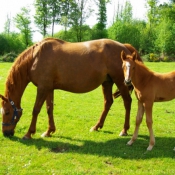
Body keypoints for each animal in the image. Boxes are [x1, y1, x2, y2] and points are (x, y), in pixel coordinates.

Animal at [0, 38, 141, 139]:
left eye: (6, 112)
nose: (6, 133)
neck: (36, 57)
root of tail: (124, 47)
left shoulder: (42, 88)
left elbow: (36, 110)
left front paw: (28, 133)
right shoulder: (49, 88)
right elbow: (49, 109)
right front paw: (49, 131)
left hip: (120, 82)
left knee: (127, 102)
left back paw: (124, 130)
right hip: (107, 82)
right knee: (108, 102)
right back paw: (96, 126)